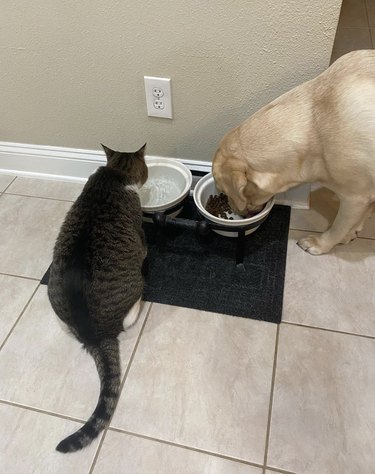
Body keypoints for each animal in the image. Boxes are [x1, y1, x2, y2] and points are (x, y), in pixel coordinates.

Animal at [49, 143, 149, 452]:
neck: (114, 174)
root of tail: (95, 334)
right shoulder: (140, 235)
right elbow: (145, 247)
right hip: (137, 288)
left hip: (54, 300)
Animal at [213, 49, 374, 254]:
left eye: (224, 191)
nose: (234, 210)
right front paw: (351, 233)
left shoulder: (356, 198)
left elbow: (338, 227)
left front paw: (321, 244)